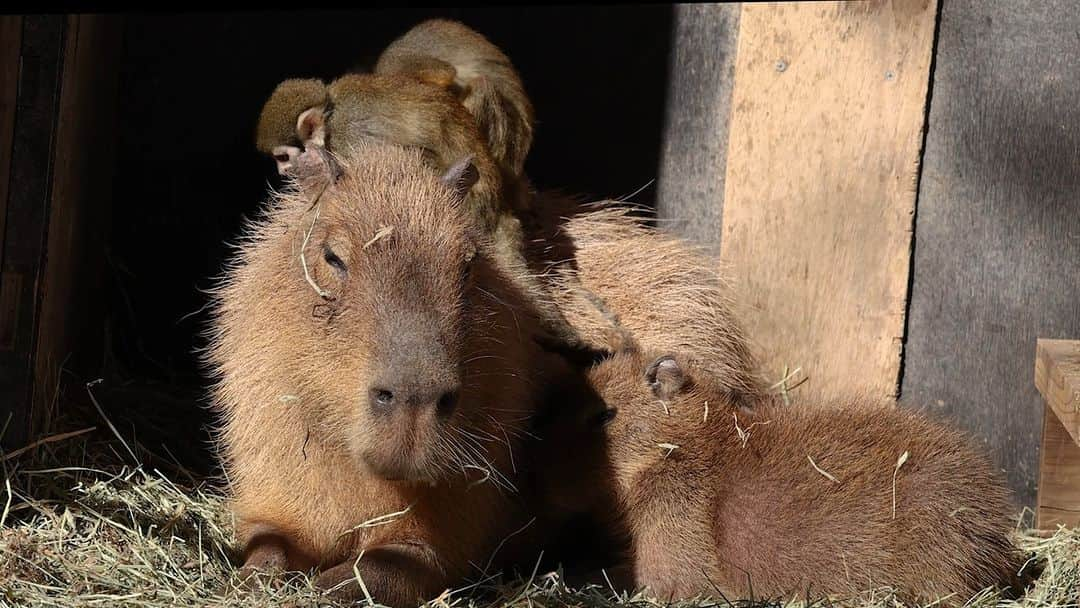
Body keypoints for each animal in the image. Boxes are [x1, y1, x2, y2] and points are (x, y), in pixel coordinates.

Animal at [205, 140, 574, 604]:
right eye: (332, 256)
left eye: (468, 264)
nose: (414, 402)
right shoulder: (273, 490)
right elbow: (268, 546)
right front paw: (254, 580)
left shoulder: (447, 531)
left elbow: (382, 567)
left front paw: (324, 586)